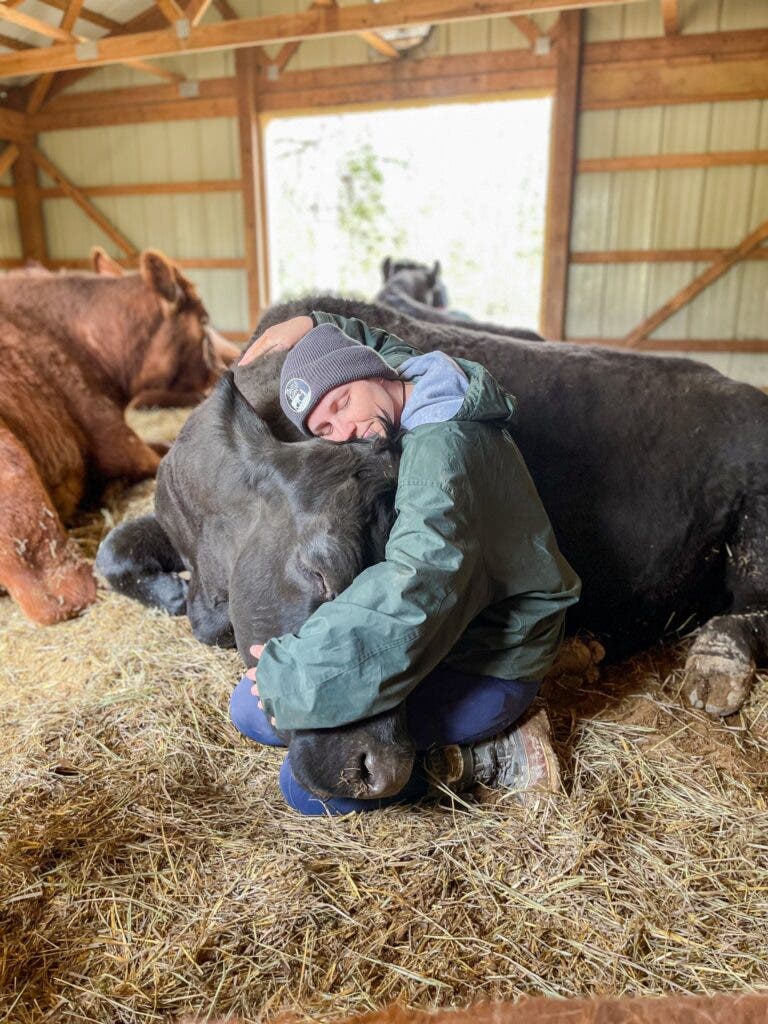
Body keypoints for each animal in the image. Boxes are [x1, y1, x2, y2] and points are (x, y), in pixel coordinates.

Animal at [96, 295, 768, 802]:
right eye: (321, 572)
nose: (382, 768)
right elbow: (111, 549)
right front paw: (171, 595)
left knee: (749, 609)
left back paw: (714, 669)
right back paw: (585, 649)